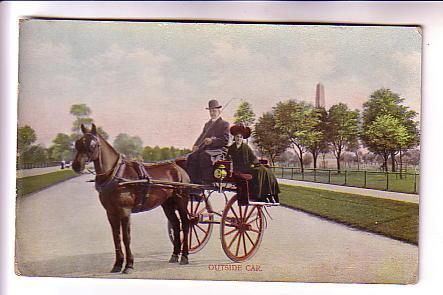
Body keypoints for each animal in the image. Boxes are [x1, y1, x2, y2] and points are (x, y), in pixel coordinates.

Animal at [71, 123, 191, 274]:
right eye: (78, 143)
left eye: (92, 144)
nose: (76, 165)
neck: (116, 175)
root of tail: (178, 168)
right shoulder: (111, 213)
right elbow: (116, 237)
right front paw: (117, 264)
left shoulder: (125, 212)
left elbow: (126, 238)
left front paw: (128, 265)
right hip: (167, 204)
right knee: (175, 225)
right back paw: (174, 255)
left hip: (181, 202)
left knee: (185, 224)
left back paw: (184, 257)